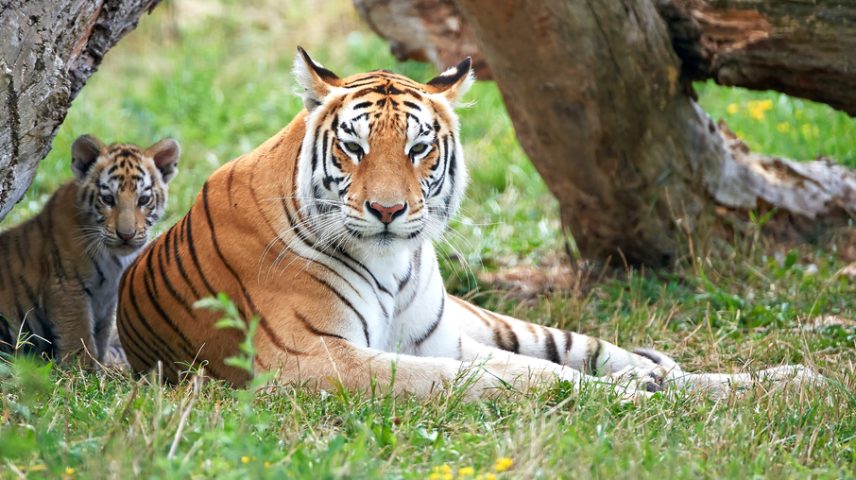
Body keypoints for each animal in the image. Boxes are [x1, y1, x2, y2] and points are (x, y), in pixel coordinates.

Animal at [0, 134, 180, 366]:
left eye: (143, 200)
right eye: (108, 199)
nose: (126, 235)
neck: (114, 258)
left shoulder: (109, 298)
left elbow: (101, 336)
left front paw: (99, 365)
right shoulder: (67, 285)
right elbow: (79, 335)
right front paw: (81, 369)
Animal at [116, 48, 815, 398]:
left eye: (419, 149)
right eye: (354, 148)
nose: (389, 211)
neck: (393, 265)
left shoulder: (438, 339)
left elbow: (531, 367)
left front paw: (633, 387)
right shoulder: (309, 360)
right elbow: (502, 378)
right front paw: (611, 397)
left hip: (492, 320)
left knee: (600, 350)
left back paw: (782, 380)